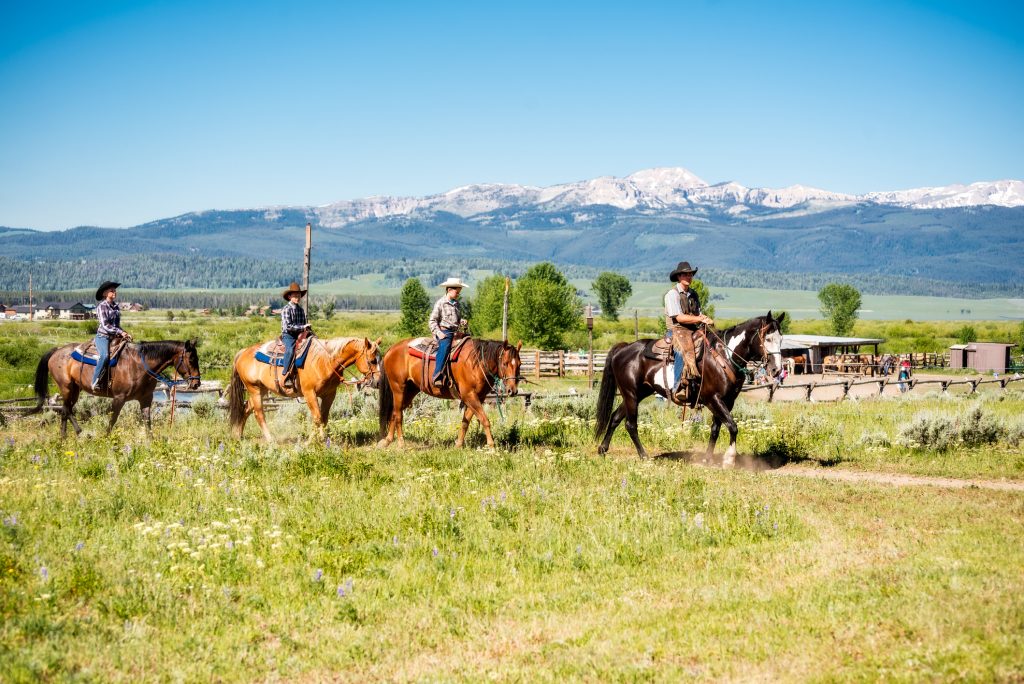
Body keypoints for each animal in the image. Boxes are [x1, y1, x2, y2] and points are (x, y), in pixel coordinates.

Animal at [29, 337, 201, 438]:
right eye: (191, 359)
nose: (196, 383)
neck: (139, 365)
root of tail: (56, 351)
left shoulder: (146, 399)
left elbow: (147, 421)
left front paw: (151, 442)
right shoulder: (119, 398)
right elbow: (113, 419)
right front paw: (106, 438)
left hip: (75, 390)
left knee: (66, 410)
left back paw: (68, 436)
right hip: (66, 388)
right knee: (66, 410)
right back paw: (77, 434)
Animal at [227, 335, 380, 444]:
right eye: (372, 360)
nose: (378, 382)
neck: (325, 361)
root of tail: (243, 352)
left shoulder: (329, 394)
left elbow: (324, 418)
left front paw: (322, 439)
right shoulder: (309, 393)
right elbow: (317, 417)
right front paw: (313, 441)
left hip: (262, 389)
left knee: (246, 409)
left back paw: (238, 435)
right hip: (254, 389)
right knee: (259, 414)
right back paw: (270, 440)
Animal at [376, 335, 520, 448]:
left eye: (519, 364)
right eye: (505, 363)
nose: (512, 390)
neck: (476, 363)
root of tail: (391, 349)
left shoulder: (477, 397)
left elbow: (465, 422)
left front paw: (458, 444)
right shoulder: (469, 396)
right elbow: (485, 420)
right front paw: (491, 446)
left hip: (410, 390)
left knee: (395, 412)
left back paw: (387, 441)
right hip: (398, 388)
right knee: (398, 414)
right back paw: (401, 443)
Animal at [593, 311, 782, 462]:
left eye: (781, 339)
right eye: (768, 338)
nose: (776, 369)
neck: (724, 356)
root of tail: (623, 348)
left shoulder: (728, 401)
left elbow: (716, 428)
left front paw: (707, 458)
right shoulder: (713, 399)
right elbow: (732, 426)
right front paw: (729, 459)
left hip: (637, 394)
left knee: (615, 418)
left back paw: (603, 449)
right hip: (631, 394)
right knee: (630, 424)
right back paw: (643, 456)